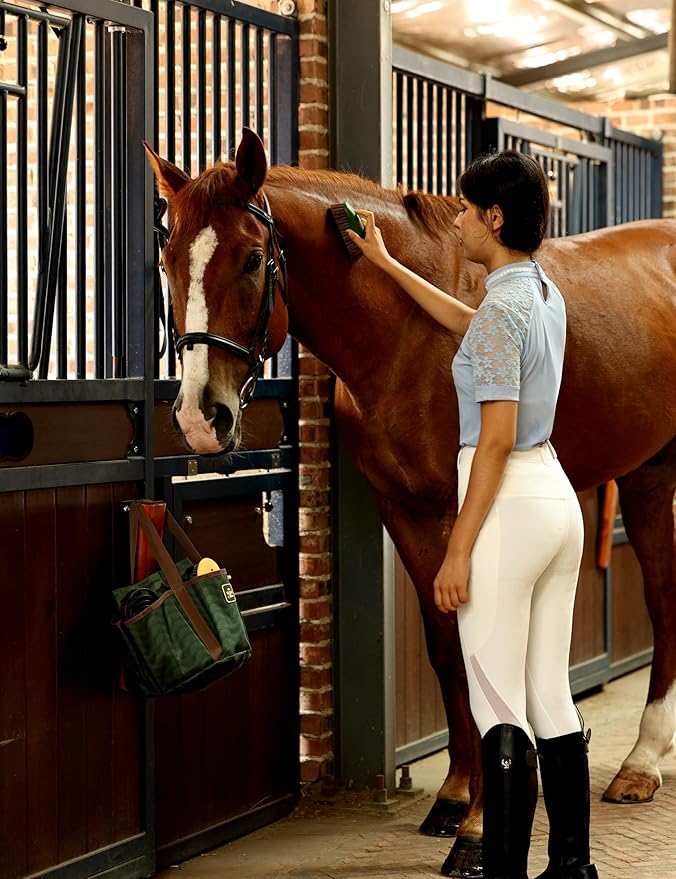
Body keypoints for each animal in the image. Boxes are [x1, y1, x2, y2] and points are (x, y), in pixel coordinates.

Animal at [144, 128, 676, 878]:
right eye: (167, 261)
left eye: (251, 258)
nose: (198, 417)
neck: (407, 332)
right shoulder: (405, 512)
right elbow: (445, 649)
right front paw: (455, 796)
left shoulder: (462, 513)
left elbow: (477, 648)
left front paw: (479, 829)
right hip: (651, 474)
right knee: (662, 594)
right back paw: (643, 759)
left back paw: (641, 761)